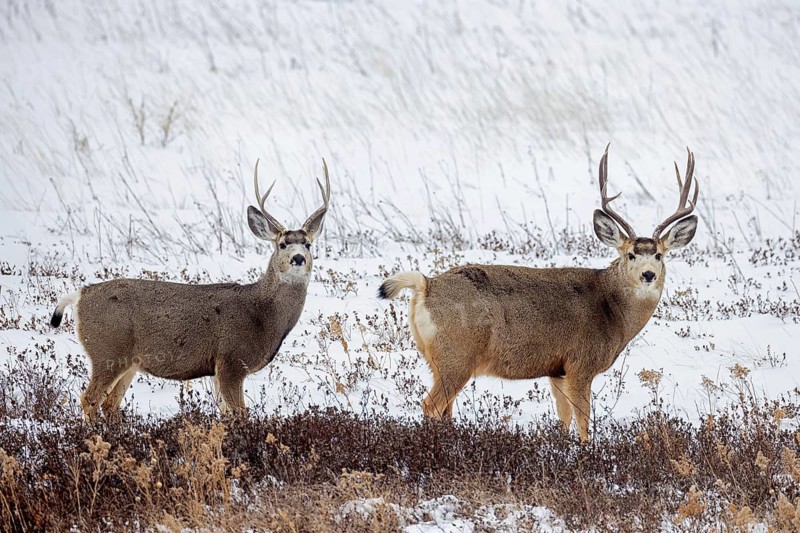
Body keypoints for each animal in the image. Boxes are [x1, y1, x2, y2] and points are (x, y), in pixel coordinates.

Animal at [50, 159, 332, 420]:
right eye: (282, 244)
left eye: (308, 244)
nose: (298, 258)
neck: (262, 314)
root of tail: (80, 295)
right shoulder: (231, 360)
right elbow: (241, 413)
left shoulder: (218, 369)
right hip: (108, 351)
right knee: (89, 399)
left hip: (128, 361)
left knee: (110, 404)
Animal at [379, 145, 698, 441]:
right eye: (631, 254)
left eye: (659, 255)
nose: (648, 274)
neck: (612, 311)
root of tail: (426, 285)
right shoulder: (580, 363)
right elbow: (584, 421)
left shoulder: (557, 369)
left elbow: (564, 419)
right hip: (457, 354)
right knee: (431, 406)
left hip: (436, 358)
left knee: (445, 409)